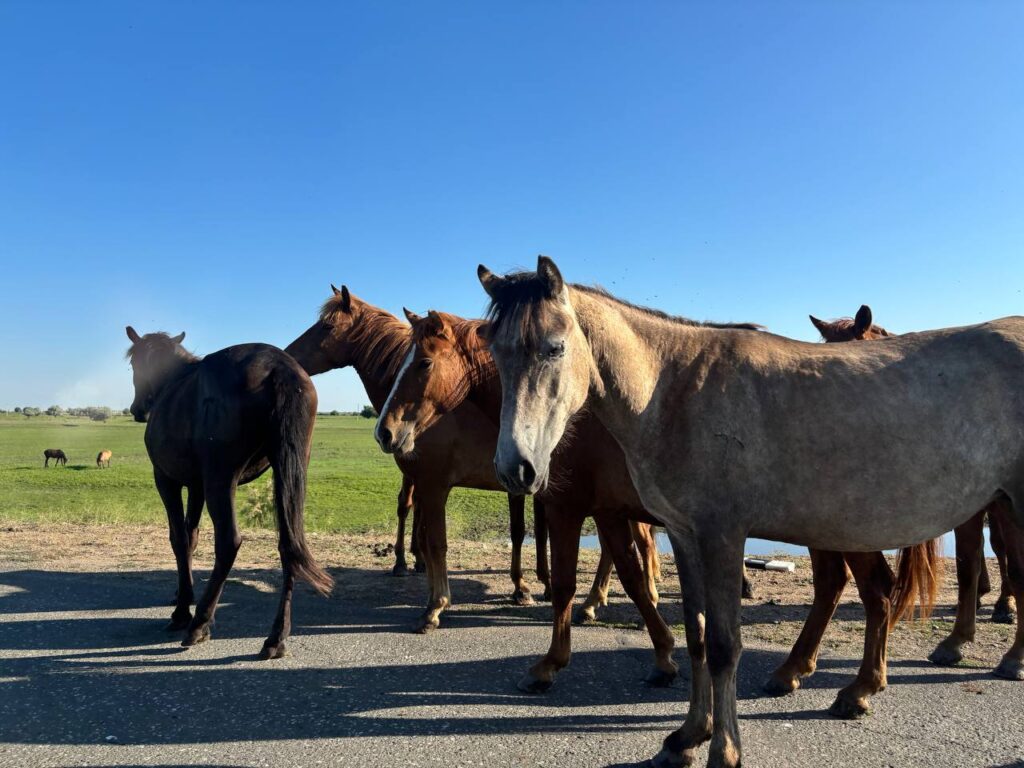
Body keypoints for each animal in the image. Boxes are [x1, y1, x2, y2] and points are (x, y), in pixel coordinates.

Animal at [125, 326, 332, 658]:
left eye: (134, 365)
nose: (137, 409)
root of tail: (278, 367)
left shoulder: (168, 480)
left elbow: (179, 538)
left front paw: (182, 611)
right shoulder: (197, 484)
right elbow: (191, 537)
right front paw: (184, 595)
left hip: (221, 479)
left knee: (228, 542)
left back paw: (199, 624)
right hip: (286, 471)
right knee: (289, 544)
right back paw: (276, 637)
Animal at [284, 286, 549, 633]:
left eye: (327, 326)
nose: (289, 356)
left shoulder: (439, 482)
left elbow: (488, 535)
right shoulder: (425, 480)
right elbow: (425, 532)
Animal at [375, 308, 701, 690]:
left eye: (424, 362)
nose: (384, 431)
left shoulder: (566, 510)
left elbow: (563, 585)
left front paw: (549, 665)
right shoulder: (607, 512)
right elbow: (631, 578)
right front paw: (663, 656)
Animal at [477, 256, 1024, 768]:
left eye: (554, 347)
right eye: (497, 352)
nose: (516, 468)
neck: (673, 392)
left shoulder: (722, 536)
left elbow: (724, 646)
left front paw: (724, 750)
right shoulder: (685, 535)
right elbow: (697, 636)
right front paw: (686, 737)